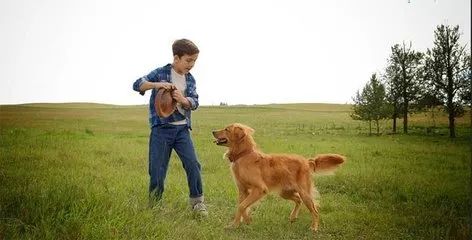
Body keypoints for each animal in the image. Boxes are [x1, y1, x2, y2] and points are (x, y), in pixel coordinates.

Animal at [212, 123, 344, 232]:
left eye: (226, 129)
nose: (212, 131)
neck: (244, 155)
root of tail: (306, 161)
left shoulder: (260, 189)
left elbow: (242, 206)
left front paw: (238, 224)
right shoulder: (243, 190)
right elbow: (242, 206)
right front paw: (240, 223)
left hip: (304, 193)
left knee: (315, 211)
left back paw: (314, 227)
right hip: (285, 192)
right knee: (298, 200)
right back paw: (293, 217)